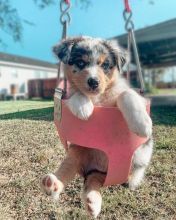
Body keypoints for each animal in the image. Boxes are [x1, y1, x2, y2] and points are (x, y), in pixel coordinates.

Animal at [41, 36, 153, 218]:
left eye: (105, 65)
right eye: (80, 63)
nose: (93, 82)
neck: (98, 98)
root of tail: (95, 168)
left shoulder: (125, 95)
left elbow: (126, 93)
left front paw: (142, 124)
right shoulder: (69, 95)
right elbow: (77, 92)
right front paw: (83, 107)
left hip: (126, 167)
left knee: (95, 180)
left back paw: (92, 201)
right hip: (77, 152)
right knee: (73, 172)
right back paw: (54, 185)